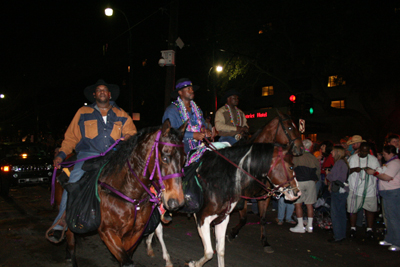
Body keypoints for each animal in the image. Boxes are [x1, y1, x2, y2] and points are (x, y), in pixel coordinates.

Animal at [52, 120, 188, 266]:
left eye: (184, 159)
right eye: (165, 158)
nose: (177, 202)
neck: (130, 193)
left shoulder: (135, 232)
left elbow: (128, 255)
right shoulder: (108, 232)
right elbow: (127, 261)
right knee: (71, 241)